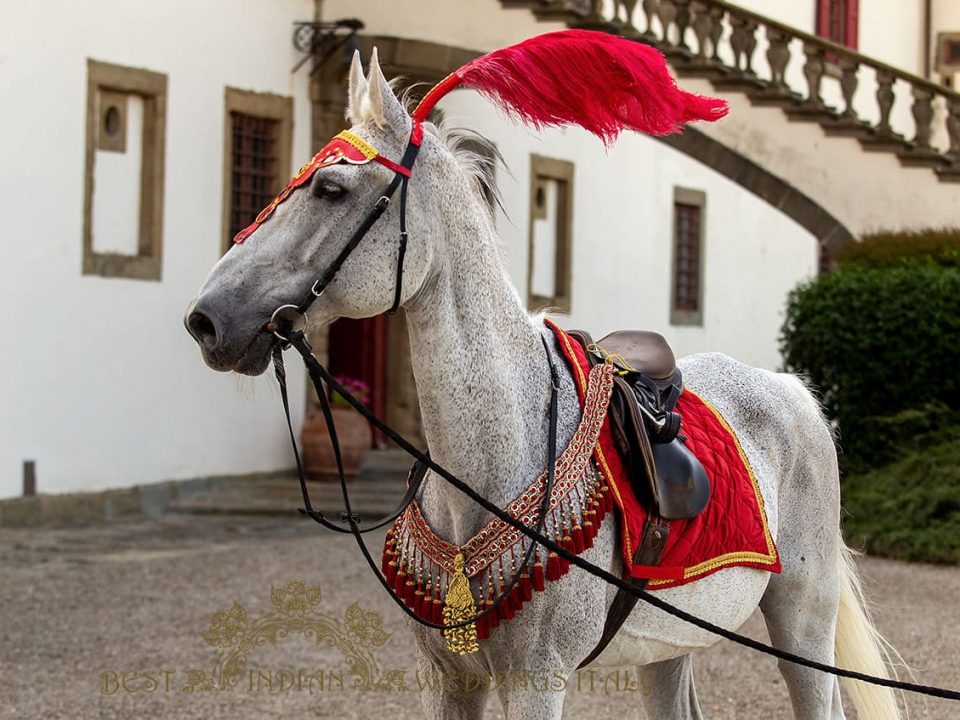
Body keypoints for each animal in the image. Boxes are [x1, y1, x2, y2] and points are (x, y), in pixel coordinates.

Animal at [186, 47, 900, 716]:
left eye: (331, 189)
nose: (206, 319)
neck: (488, 462)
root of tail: (792, 389)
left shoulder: (537, 678)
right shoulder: (447, 676)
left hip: (803, 622)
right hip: (671, 644)